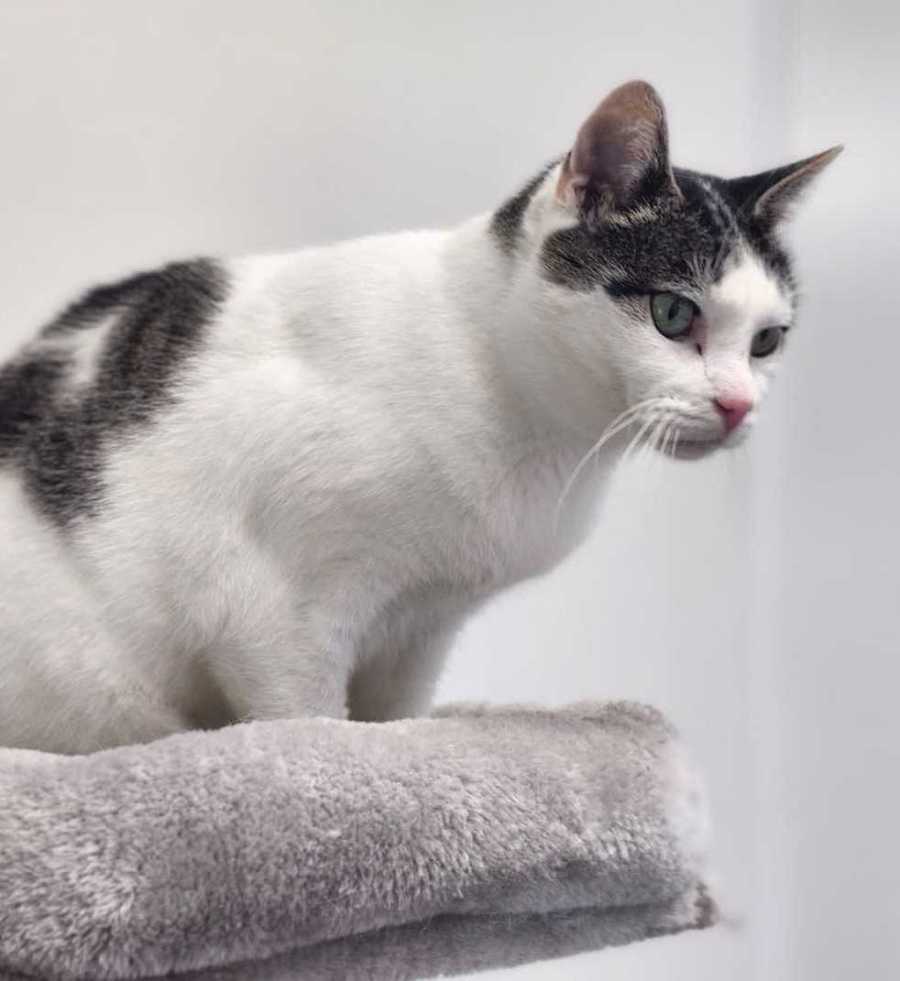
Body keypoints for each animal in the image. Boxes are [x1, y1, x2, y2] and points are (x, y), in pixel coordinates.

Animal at [0, 80, 839, 753]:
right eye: (673, 313)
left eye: (768, 341)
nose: (738, 403)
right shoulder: (268, 605)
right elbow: (304, 717)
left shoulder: (421, 627)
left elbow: (395, 716)